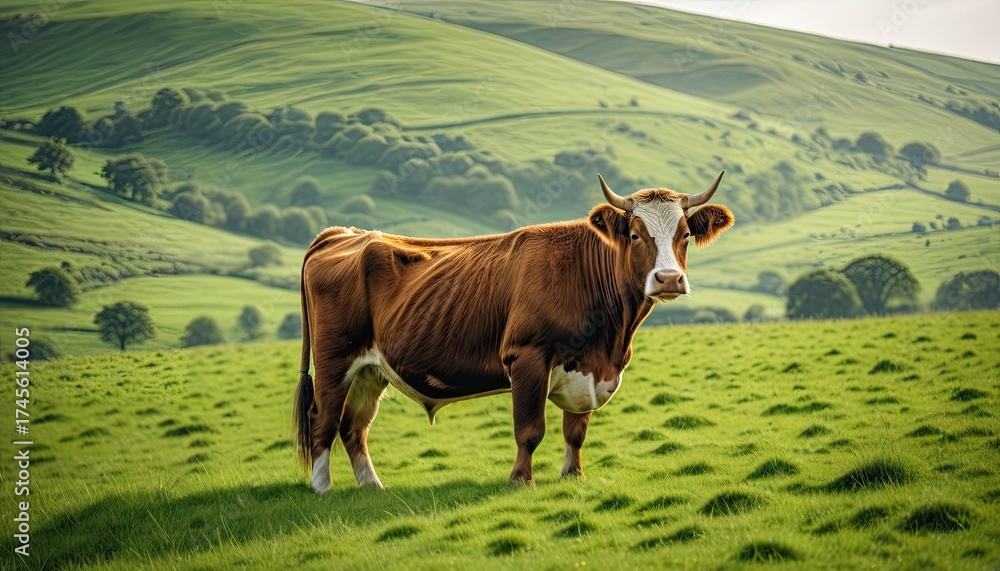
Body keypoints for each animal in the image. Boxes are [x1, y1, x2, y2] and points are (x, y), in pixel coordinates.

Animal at [293, 172, 734, 492]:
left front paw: (573, 476)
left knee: (354, 425)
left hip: (371, 369)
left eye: (685, 235)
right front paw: (521, 480)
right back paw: (322, 487)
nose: (669, 279)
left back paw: (372, 486)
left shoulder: (588, 370)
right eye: (635, 234)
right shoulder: (527, 357)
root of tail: (345, 234)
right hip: (334, 359)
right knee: (324, 417)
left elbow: (576, 431)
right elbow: (530, 430)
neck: (609, 341)